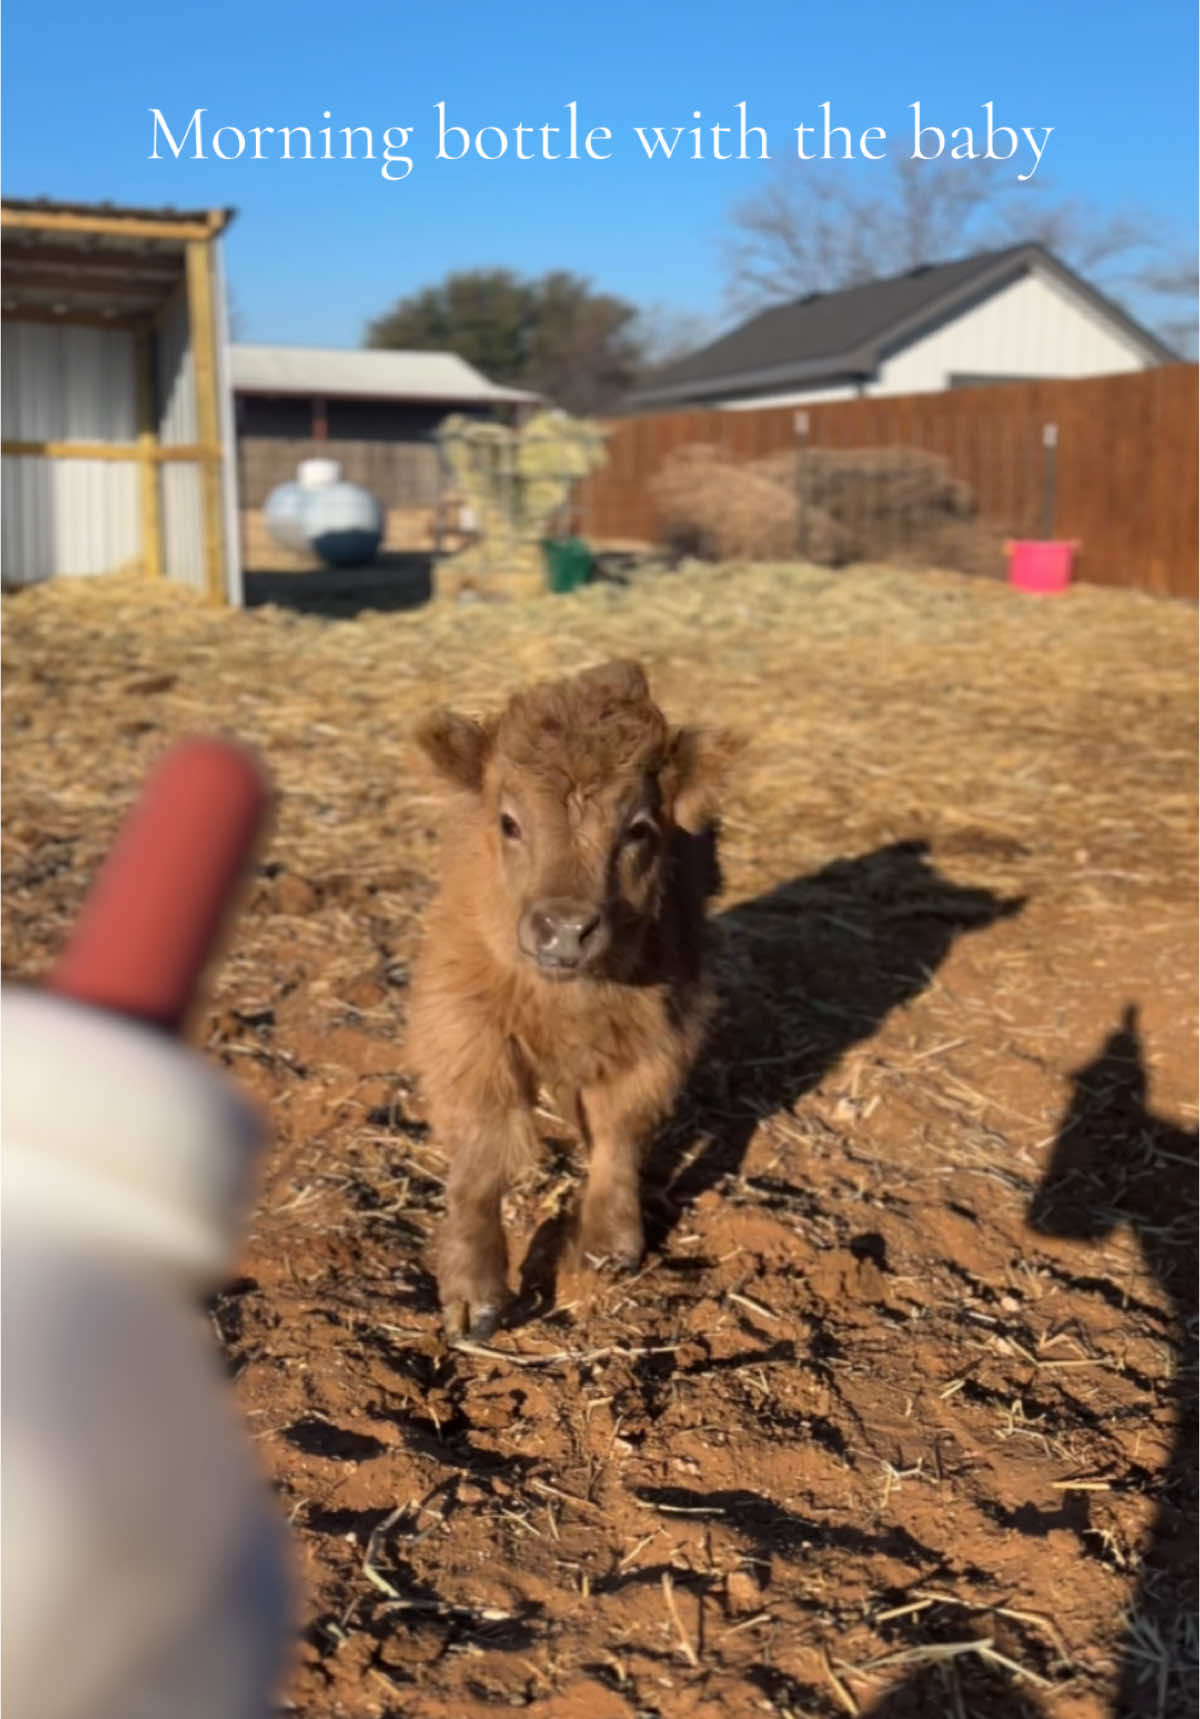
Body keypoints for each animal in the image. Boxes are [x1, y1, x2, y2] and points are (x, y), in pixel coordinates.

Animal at [407, 656, 732, 1340]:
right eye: (509, 822)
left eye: (638, 829)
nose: (563, 928)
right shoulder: (466, 1032)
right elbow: (481, 1156)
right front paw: (473, 1296)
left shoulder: (659, 1039)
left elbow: (619, 1134)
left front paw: (609, 1244)